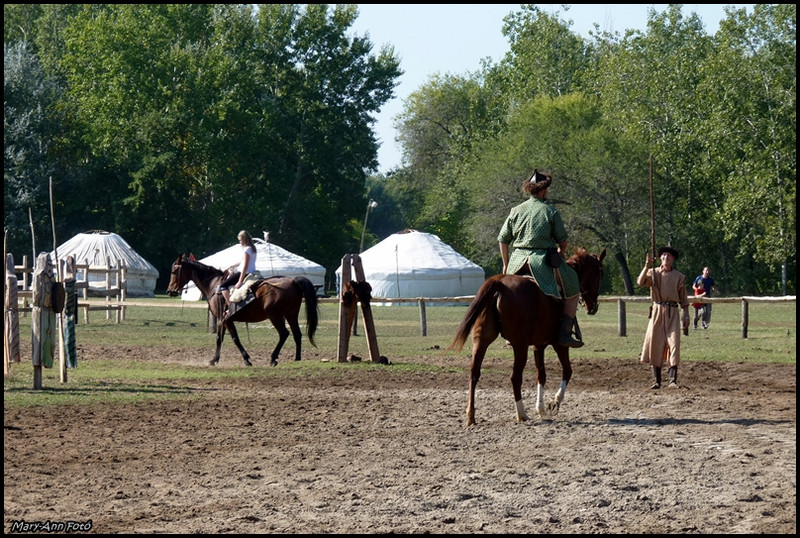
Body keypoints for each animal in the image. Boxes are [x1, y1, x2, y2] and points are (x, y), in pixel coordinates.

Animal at [166, 254, 318, 364]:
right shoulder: (224, 320)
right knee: (297, 334)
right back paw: (297, 359)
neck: (215, 286)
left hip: (275, 316)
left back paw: (273, 358)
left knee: (284, 333)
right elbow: (220, 338)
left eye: (174, 271)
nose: (170, 291)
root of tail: (293, 281)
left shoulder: (225, 319)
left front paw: (246, 359)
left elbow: (234, 338)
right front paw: (214, 359)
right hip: (291, 314)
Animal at [450, 245, 608, 426]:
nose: (593, 307)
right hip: (520, 346)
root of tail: (499, 284)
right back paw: (522, 414)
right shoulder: (559, 345)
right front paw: (555, 401)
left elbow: (541, 375)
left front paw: (541, 408)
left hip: (481, 341)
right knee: (515, 377)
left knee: (474, 373)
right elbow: (567, 371)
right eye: (601, 274)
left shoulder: (538, 346)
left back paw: (471, 415)